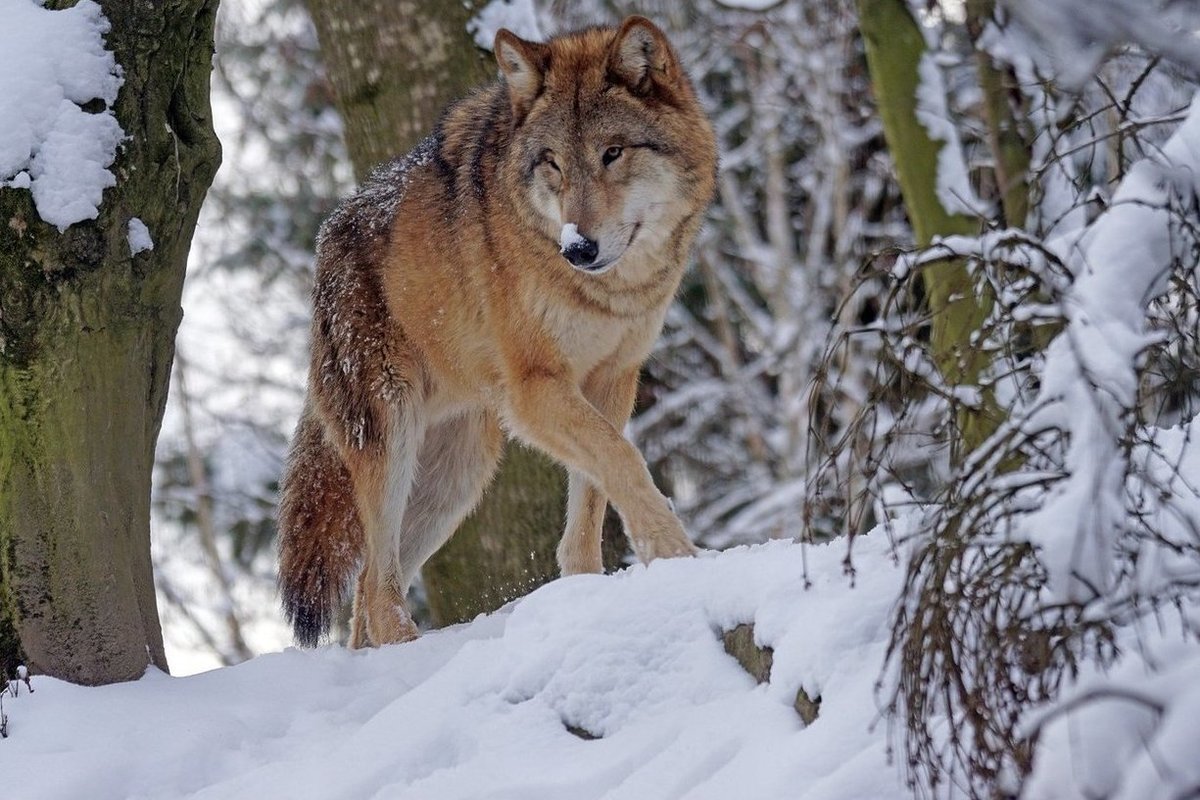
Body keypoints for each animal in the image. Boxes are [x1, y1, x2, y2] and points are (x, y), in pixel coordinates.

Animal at [276, 14, 715, 652]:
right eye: (552, 161)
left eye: (613, 153)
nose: (578, 248)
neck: (609, 293)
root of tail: (326, 239)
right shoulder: (535, 389)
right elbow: (625, 460)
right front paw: (678, 556)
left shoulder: (612, 380)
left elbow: (594, 495)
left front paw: (589, 591)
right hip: (393, 439)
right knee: (377, 590)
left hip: (457, 478)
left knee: (364, 596)